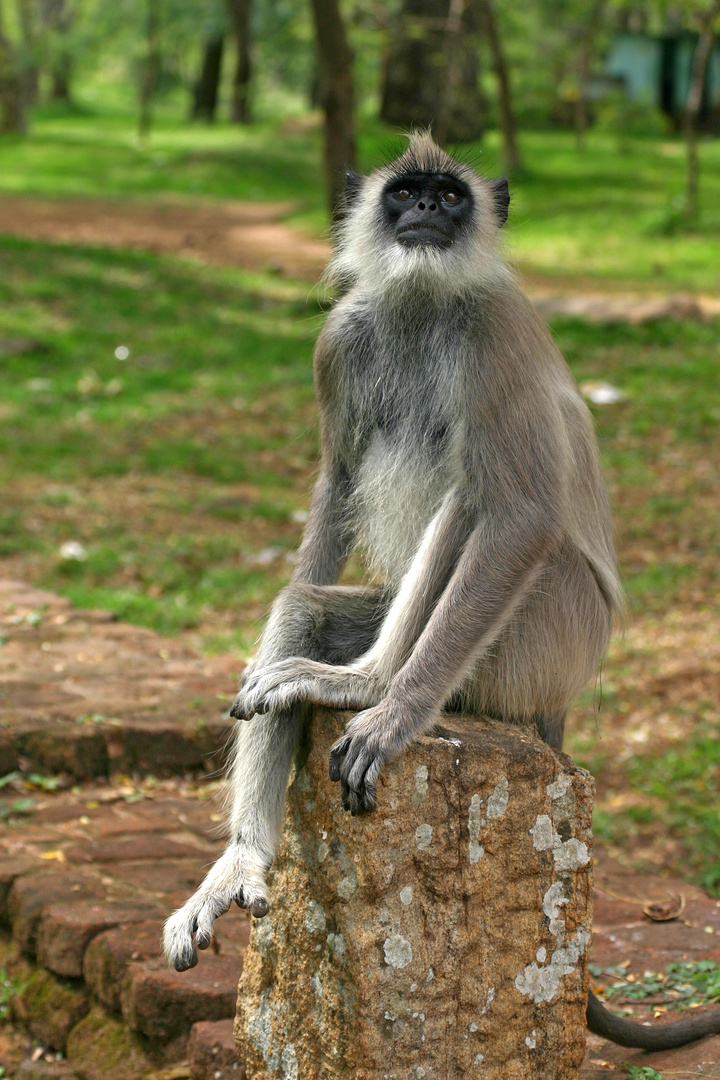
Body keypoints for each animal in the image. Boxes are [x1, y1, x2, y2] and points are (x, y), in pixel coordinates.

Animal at [162, 130, 720, 1049]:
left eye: (450, 197)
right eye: (407, 193)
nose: (425, 210)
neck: (422, 303)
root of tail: (560, 699)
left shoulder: (494, 331)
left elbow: (521, 515)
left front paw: (392, 716)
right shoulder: (340, 338)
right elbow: (338, 483)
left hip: (538, 642)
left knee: (478, 495)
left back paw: (373, 687)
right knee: (308, 604)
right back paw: (246, 853)